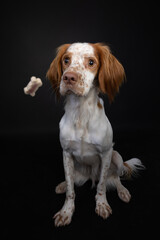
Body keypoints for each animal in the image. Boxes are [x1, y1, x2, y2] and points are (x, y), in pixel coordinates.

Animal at [46, 42, 144, 227]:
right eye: (66, 60)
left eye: (91, 62)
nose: (68, 77)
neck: (81, 113)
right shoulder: (66, 153)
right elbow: (70, 189)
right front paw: (66, 212)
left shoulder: (106, 153)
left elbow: (102, 185)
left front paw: (102, 205)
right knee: (74, 180)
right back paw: (62, 185)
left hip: (116, 157)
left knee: (116, 177)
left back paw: (123, 191)